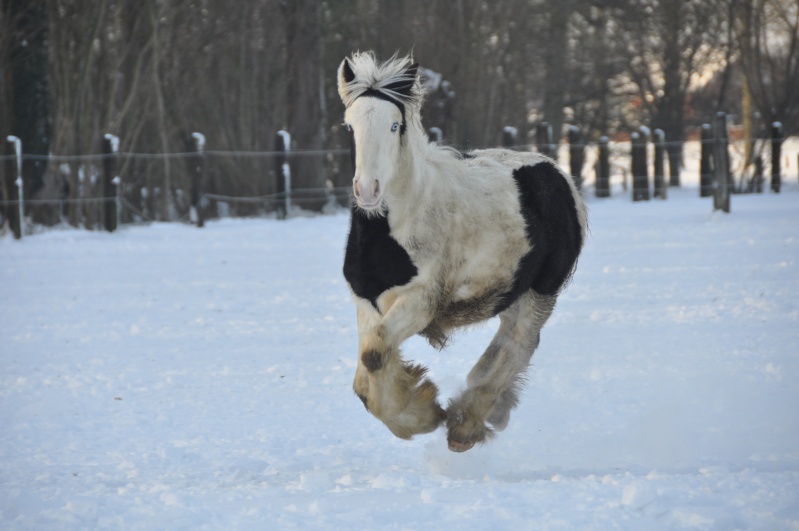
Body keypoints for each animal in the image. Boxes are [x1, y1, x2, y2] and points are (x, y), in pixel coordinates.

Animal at [338, 52, 588, 454]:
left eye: (394, 126)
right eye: (349, 127)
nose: (368, 191)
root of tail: (555, 172)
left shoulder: (421, 301)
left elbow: (374, 357)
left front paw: (425, 415)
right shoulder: (368, 301)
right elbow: (366, 375)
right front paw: (418, 405)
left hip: (541, 292)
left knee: (520, 343)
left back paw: (465, 424)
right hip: (511, 292)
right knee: (507, 341)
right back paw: (483, 411)